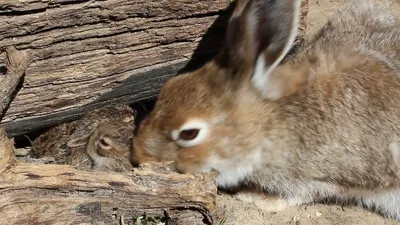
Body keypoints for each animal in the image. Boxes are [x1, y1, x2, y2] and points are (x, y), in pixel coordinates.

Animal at [133, 0, 400, 221]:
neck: (267, 126)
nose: (137, 156)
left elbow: (304, 192)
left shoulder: (334, 176)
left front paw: (254, 197)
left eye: (189, 133)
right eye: (168, 87)